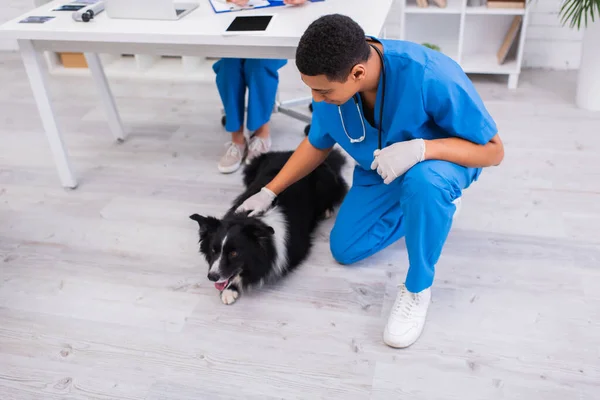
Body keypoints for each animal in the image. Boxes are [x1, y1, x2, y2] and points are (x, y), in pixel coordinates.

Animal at [188, 147, 346, 304]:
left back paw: (327, 210)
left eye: (234, 253)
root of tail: (290, 151)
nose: (212, 276)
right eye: (213, 250)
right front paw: (229, 290)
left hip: (325, 180)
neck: (248, 219)